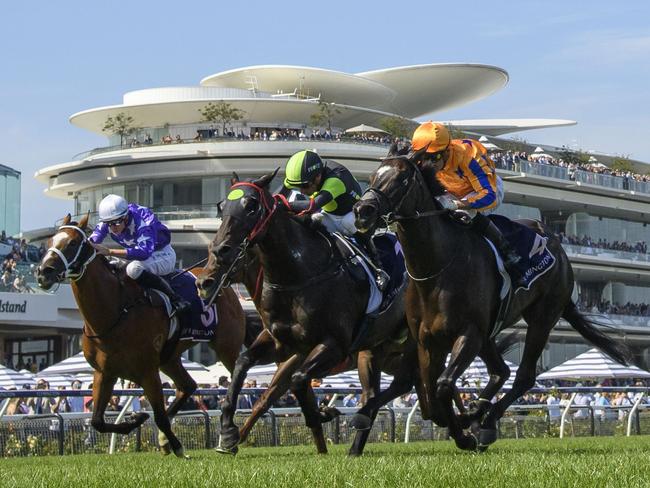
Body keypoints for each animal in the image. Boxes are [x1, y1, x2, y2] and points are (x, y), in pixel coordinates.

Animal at [34, 214, 254, 458]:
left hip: (226, 347)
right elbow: (97, 421)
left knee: (236, 379)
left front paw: (177, 446)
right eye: (50, 241)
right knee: (188, 385)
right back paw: (166, 439)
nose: (43, 272)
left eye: (72, 243)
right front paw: (137, 418)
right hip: (170, 357)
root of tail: (227, 286)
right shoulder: (105, 372)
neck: (115, 312)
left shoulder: (147, 371)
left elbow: (159, 416)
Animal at [205, 170, 412, 456]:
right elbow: (244, 365)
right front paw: (227, 432)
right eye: (222, 206)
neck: (299, 275)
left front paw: (322, 415)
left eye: (251, 206)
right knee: (385, 390)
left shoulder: (332, 345)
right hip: (379, 351)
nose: (219, 251)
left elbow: (297, 380)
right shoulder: (281, 342)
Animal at [352, 144, 632, 450]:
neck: (436, 268)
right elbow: (430, 392)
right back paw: (478, 416)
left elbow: (443, 385)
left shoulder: (469, 333)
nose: (362, 210)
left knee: (523, 376)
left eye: (402, 179)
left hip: (541, 318)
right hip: (489, 333)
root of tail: (557, 247)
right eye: (373, 175)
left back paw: (484, 420)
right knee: (501, 372)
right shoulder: (427, 341)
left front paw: (465, 428)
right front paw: (459, 425)